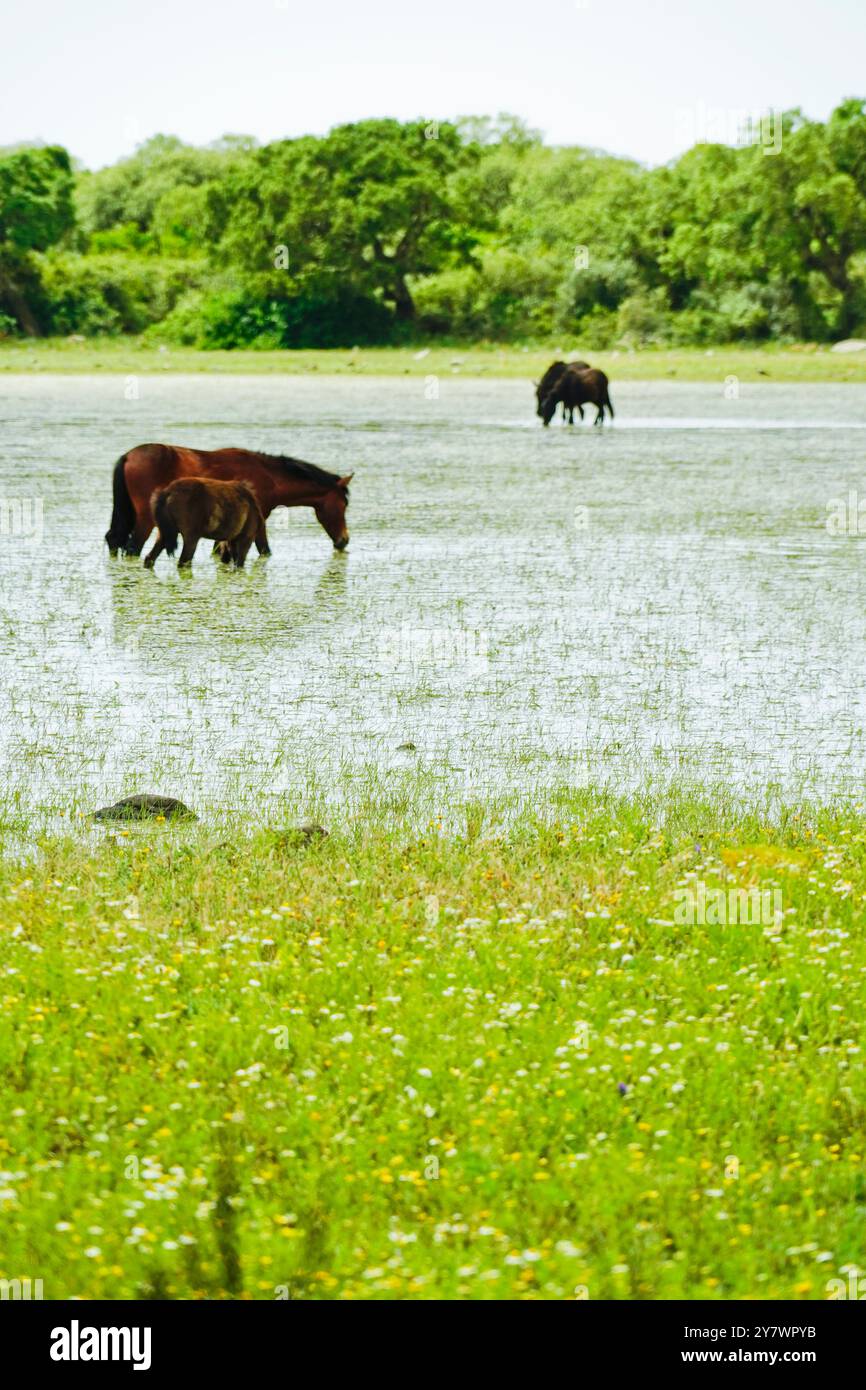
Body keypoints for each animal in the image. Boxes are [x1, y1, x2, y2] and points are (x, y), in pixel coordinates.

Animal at [105, 444, 352, 557]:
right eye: (343, 505)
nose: (344, 540)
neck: (269, 476)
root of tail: (128, 456)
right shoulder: (258, 519)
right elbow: (264, 550)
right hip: (146, 520)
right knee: (133, 547)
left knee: (114, 540)